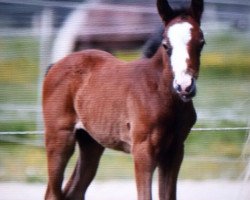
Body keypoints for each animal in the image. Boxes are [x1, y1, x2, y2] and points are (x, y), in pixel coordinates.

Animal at [43, 0, 205, 199]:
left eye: (201, 43)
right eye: (166, 45)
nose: (184, 86)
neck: (159, 92)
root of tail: (55, 65)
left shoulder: (175, 151)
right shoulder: (143, 151)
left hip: (91, 143)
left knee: (75, 191)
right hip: (59, 138)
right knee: (52, 192)